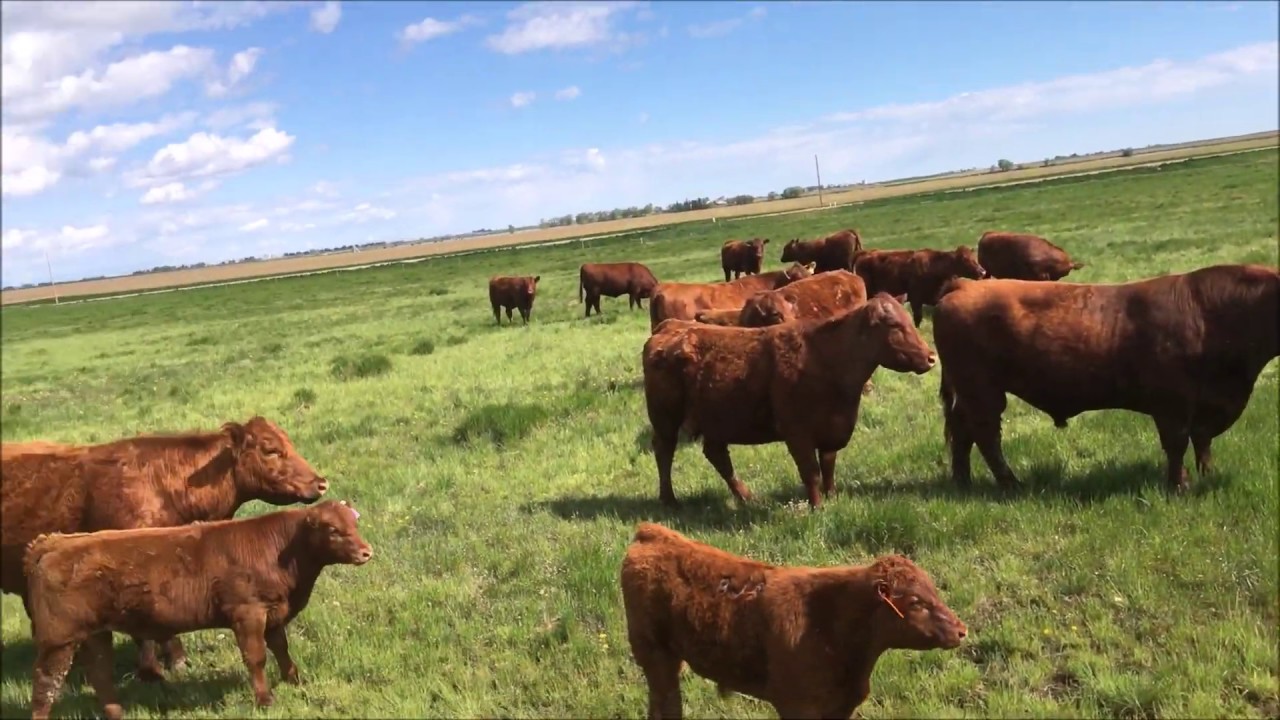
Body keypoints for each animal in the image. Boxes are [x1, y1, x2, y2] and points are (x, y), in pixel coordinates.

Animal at [24, 499, 372, 720]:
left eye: (354, 523)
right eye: (333, 530)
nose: (367, 551)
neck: (282, 550)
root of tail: (55, 543)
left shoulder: (273, 613)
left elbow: (281, 649)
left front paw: (295, 681)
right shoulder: (247, 613)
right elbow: (257, 658)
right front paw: (265, 700)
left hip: (95, 634)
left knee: (100, 676)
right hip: (59, 639)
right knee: (46, 683)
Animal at [620, 522, 967, 720]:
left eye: (934, 591)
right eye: (915, 602)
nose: (962, 630)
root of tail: (653, 534)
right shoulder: (797, 706)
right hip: (655, 658)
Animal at [642, 293, 936, 508]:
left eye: (909, 321)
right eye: (895, 325)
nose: (931, 357)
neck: (824, 358)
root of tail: (670, 327)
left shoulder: (833, 428)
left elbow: (828, 466)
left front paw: (832, 497)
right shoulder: (798, 433)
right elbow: (811, 472)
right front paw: (817, 507)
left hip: (716, 421)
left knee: (717, 455)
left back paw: (747, 497)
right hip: (665, 419)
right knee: (664, 450)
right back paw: (669, 499)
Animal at [854, 246, 987, 327]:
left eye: (974, 258)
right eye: (965, 260)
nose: (982, 272)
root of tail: (865, 254)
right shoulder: (915, 299)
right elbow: (917, 318)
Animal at [933, 264, 1280, 494]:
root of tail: (964, 285)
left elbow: (1202, 440)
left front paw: (1207, 475)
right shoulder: (1172, 405)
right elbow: (1178, 443)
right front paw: (1178, 486)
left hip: (969, 392)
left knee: (963, 433)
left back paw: (963, 483)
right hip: (982, 391)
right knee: (986, 435)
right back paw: (1011, 484)